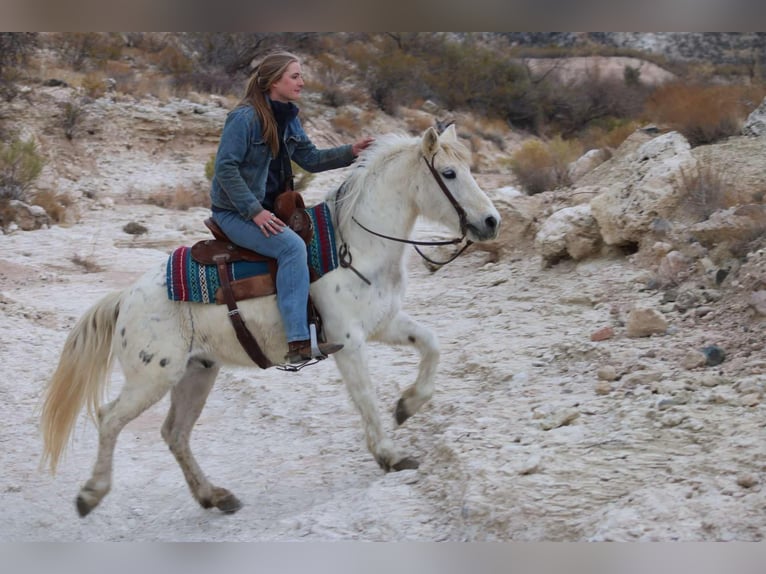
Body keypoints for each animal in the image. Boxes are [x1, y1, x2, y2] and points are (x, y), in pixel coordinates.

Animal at [40, 124, 501, 517]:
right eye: (449, 173)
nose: (491, 221)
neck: (355, 246)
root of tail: (126, 298)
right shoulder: (347, 340)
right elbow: (367, 398)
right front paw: (392, 454)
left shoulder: (384, 324)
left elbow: (431, 344)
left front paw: (407, 404)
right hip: (153, 378)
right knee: (110, 419)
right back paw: (91, 493)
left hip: (197, 373)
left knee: (175, 433)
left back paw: (213, 496)